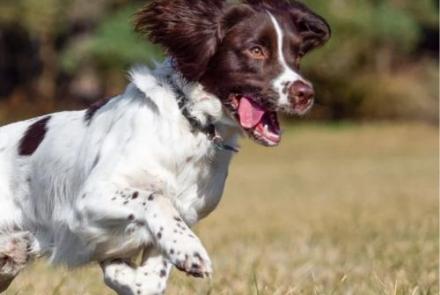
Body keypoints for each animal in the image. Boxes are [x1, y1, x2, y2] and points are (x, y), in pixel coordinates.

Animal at [0, 1, 330, 294]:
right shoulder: (91, 195)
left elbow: (149, 276)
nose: (305, 94)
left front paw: (122, 269)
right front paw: (190, 250)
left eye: (297, 54)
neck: (191, 127)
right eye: (256, 50)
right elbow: (154, 198)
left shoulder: (184, 213)